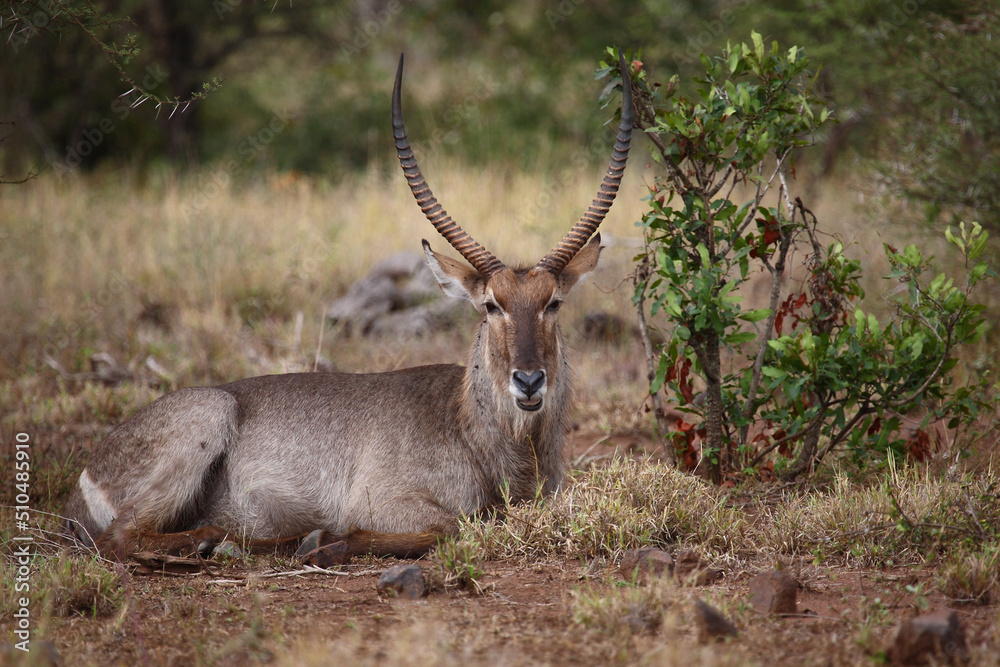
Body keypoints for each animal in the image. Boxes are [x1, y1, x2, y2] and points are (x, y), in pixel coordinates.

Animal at [64, 53, 632, 564]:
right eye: (491, 305)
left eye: (553, 302)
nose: (529, 381)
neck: (475, 431)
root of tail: (86, 476)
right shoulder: (383, 500)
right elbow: (451, 527)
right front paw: (325, 543)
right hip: (207, 416)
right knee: (120, 538)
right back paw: (225, 544)